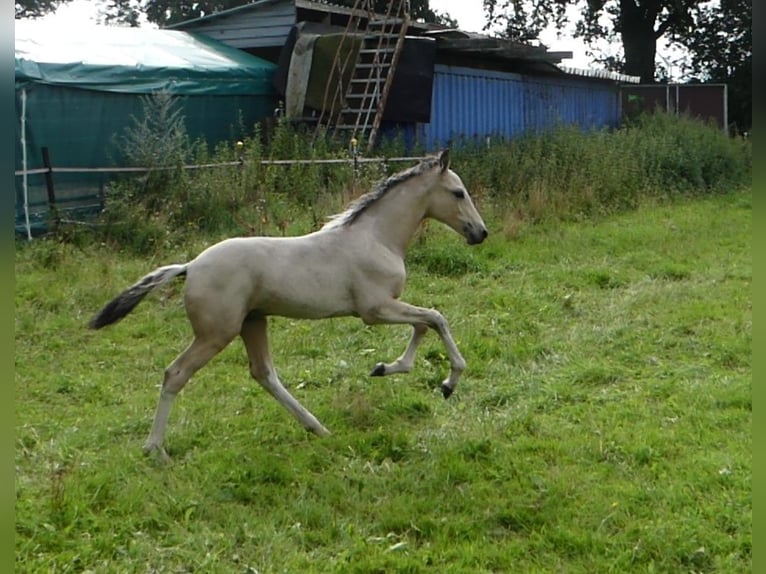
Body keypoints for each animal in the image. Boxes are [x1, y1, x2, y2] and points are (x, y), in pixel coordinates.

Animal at [88, 151, 486, 462]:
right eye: (458, 192)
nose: (480, 233)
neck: (376, 237)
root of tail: (191, 266)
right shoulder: (375, 310)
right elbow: (435, 318)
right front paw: (447, 382)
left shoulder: (385, 307)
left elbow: (424, 324)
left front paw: (386, 368)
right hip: (217, 333)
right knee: (176, 373)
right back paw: (155, 450)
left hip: (253, 322)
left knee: (264, 374)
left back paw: (317, 428)